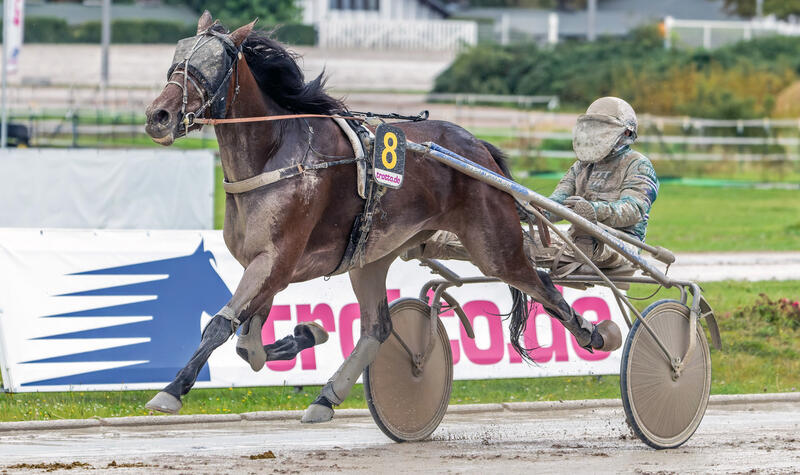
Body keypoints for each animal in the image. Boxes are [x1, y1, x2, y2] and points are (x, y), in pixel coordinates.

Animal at [142, 13, 620, 424]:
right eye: (178, 56)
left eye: (212, 63)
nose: (158, 116)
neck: (276, 153)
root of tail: (479, 150)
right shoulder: (265, 266)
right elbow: (248, 345)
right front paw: (306, 334)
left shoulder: (275, 260)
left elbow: (222, 325)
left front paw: (171, 391)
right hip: (371, 256)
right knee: (378, 327)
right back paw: (326, 396)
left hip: (494, 246)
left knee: (543, 284)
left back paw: (596, 334)